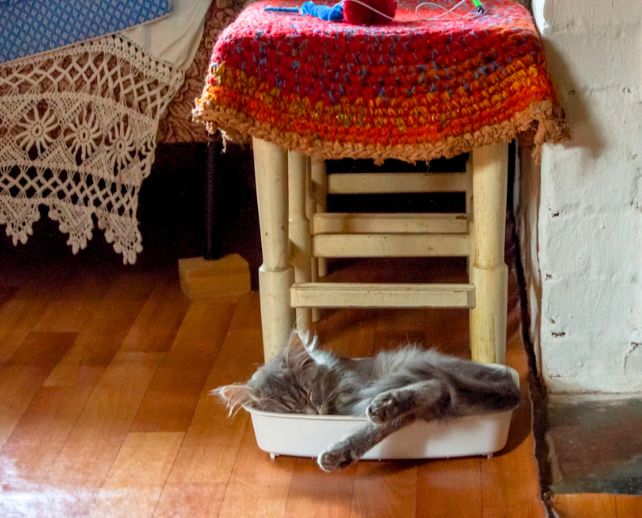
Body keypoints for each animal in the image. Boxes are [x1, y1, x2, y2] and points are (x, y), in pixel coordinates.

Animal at [212, 334, 516, 476]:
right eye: (290, 409)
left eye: (309, 394)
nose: (314, 412)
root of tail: (507, 383)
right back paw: (343, 452)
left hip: (413, 372)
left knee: (436, 387)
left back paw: (382, 407)